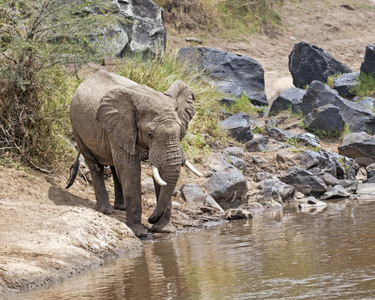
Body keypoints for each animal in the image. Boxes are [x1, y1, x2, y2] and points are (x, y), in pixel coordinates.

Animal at [67, 70, 203, 237]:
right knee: (94, 164)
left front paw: (165, 230)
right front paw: (139, 233)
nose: (150, 219)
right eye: (150, 134)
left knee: (114, 166)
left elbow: (158, 175)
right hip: (76, 125)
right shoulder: (120, 126)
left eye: (179, 132)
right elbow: (130, 171)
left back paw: (121, 207)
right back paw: (105, 210)